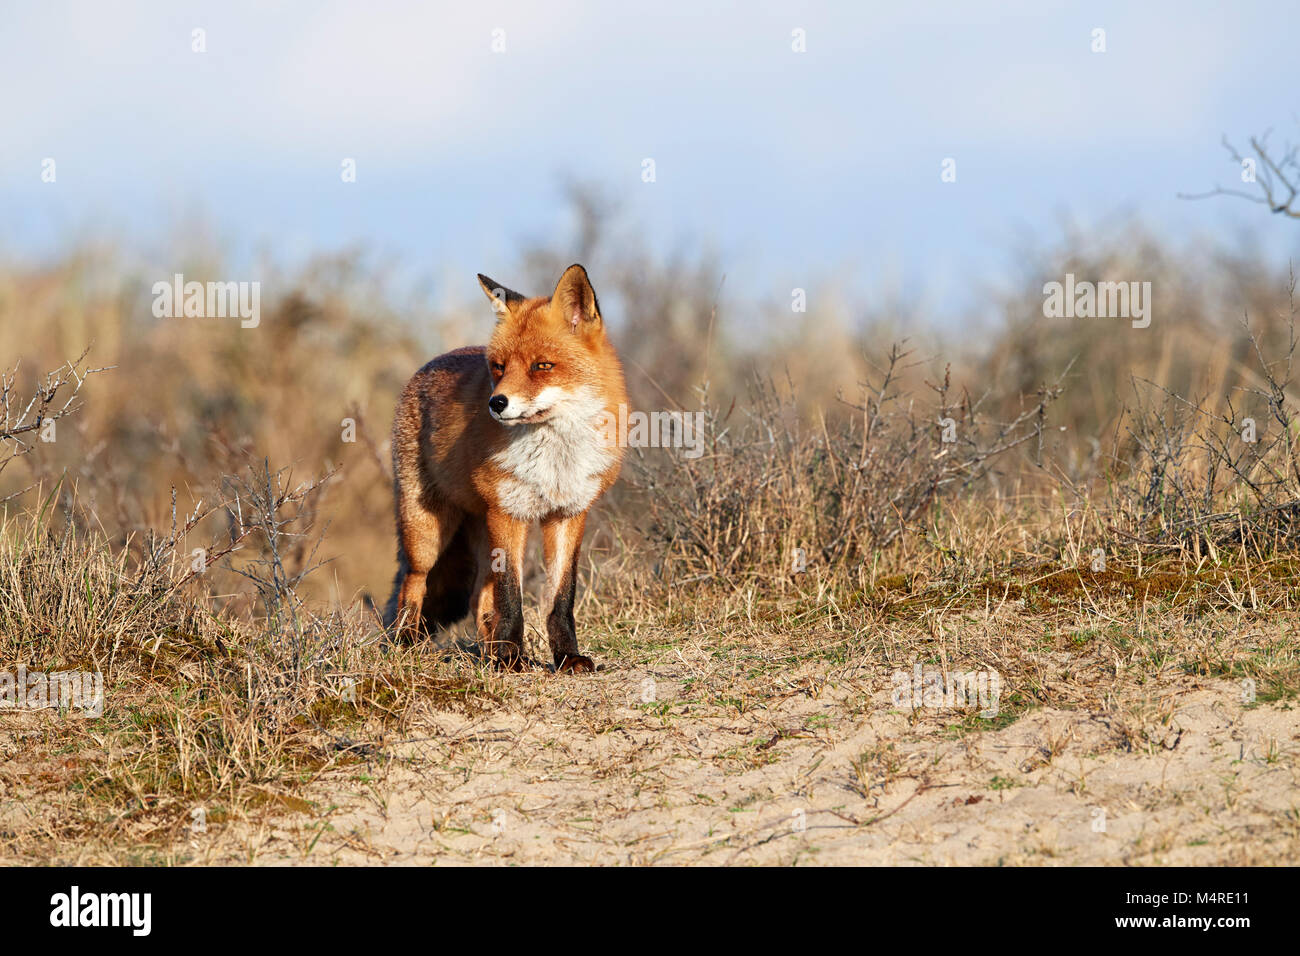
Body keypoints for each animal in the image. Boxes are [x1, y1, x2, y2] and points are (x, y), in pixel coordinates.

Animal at [382, 264, 627, 673]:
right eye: (498, 367)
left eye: (542, 366)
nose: (496, 403)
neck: (555, 457)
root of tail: (426, 365)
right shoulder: (508, 513)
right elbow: (511, 597)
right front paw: (511, 658)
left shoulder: (569, 514)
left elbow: (561, 599)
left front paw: (566, 657)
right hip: (426, 531)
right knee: (414, 583)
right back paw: (407, 645)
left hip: (480, 533)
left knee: (478, 600)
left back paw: (488, 650)